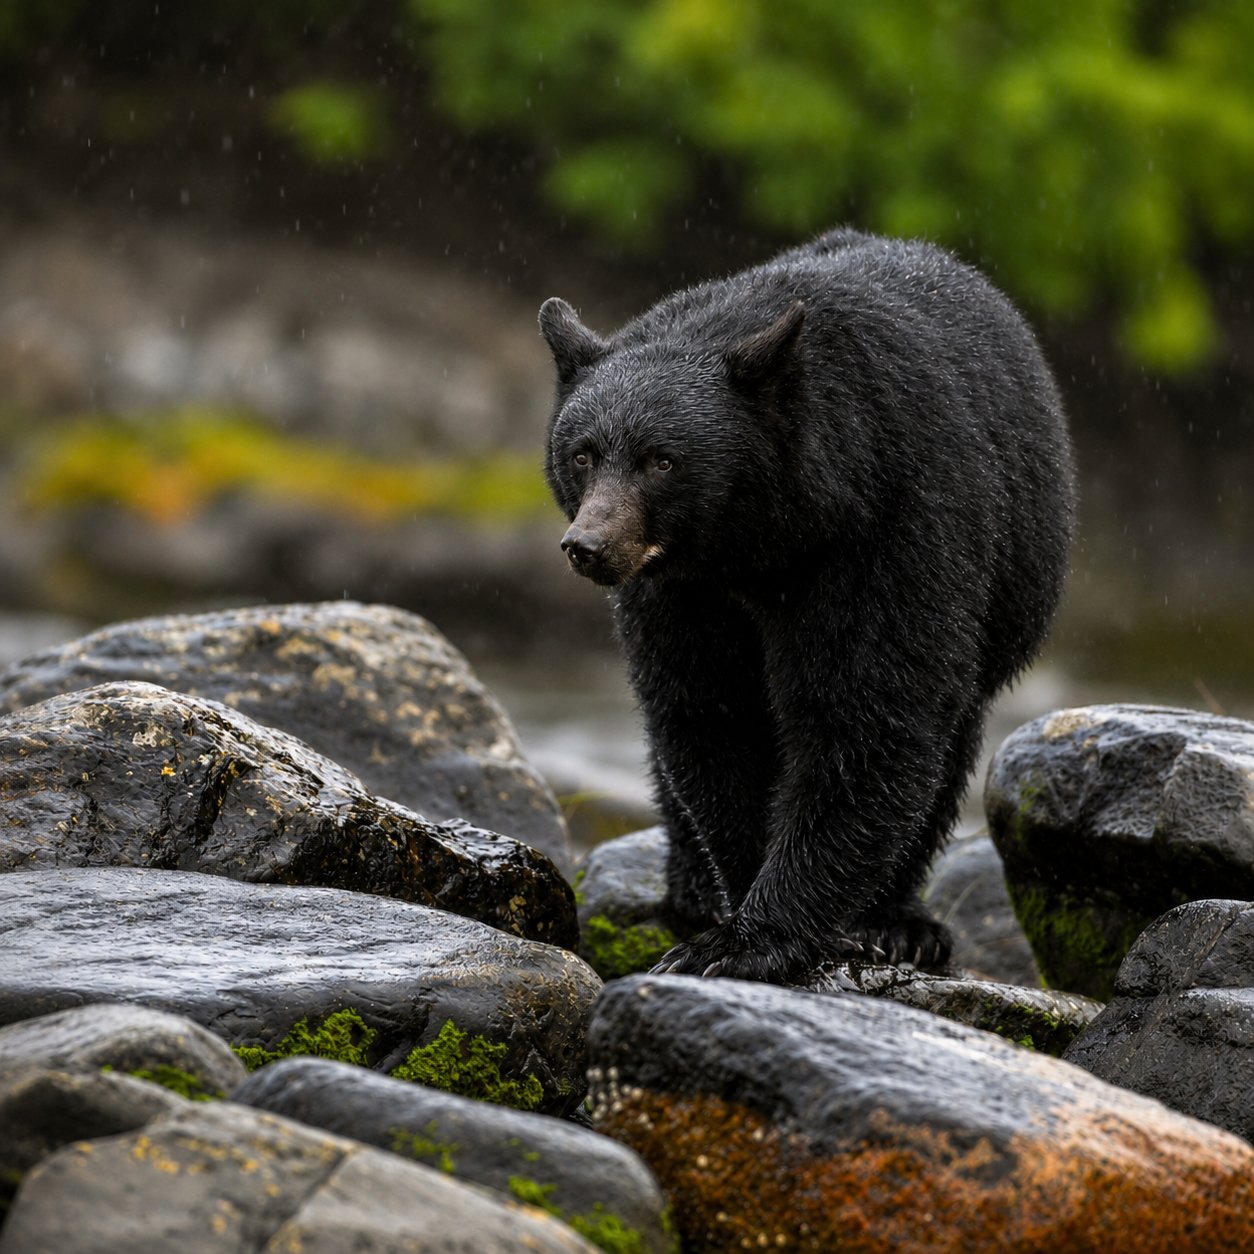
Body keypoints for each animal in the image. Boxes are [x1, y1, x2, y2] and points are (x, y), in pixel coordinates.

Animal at [539, 227, 1074, 984]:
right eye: (583, 454)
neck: (761, 544)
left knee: (948, 744)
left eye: (661, 459)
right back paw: (692, 887)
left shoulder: (891, 531)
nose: (589, 545)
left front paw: (757, 938)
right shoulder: (682, 594)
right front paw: (731, 912)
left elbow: (866, 715)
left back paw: (898, 922)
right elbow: (711, 716)